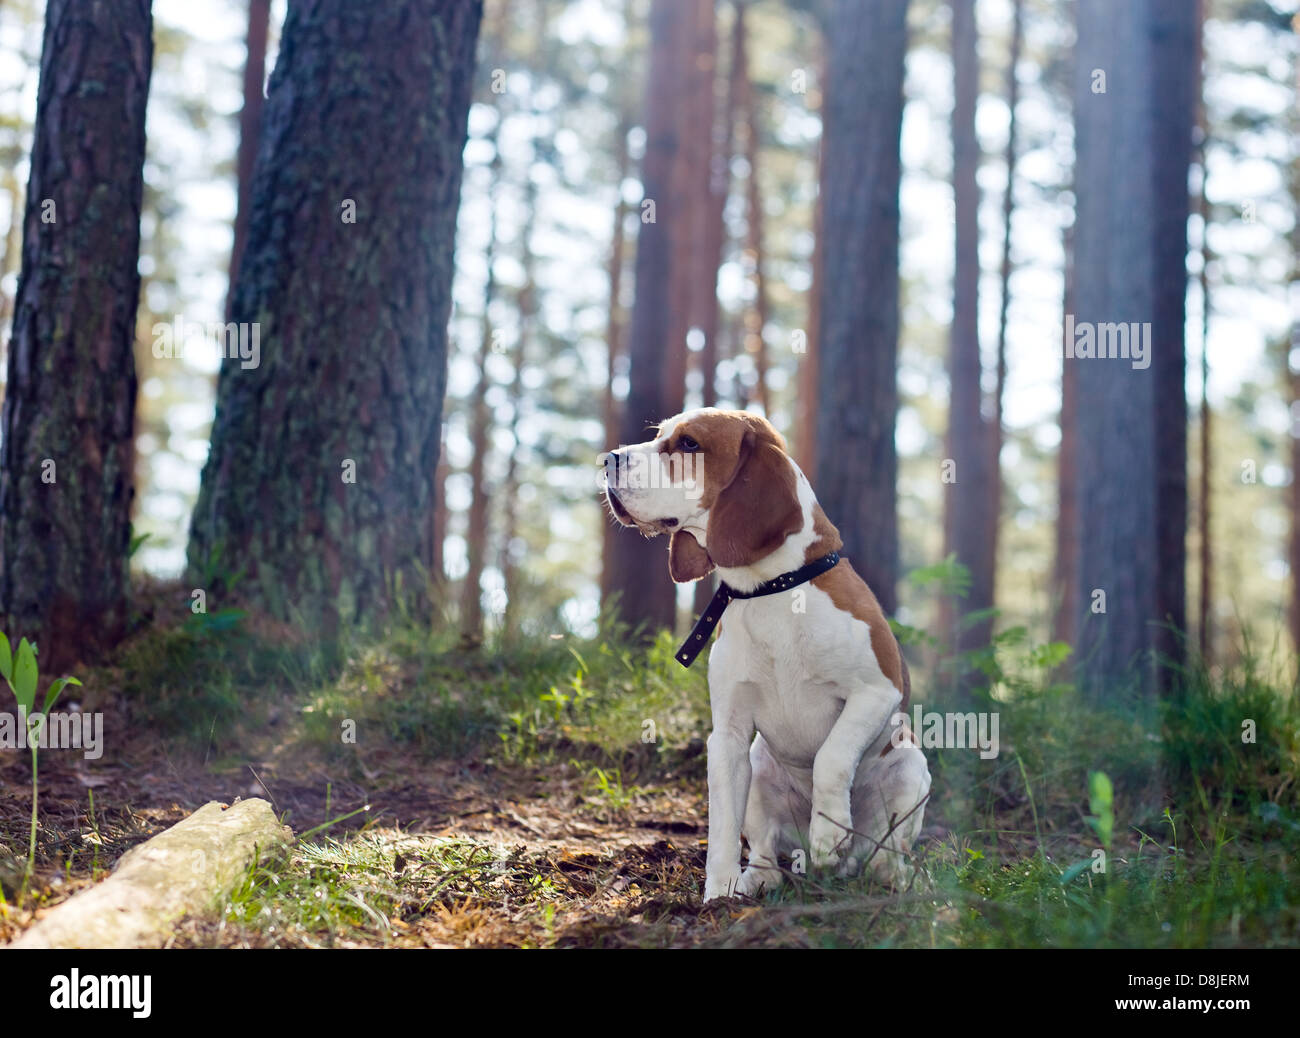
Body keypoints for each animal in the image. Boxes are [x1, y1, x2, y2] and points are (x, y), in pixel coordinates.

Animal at [603, 405, 930, 900]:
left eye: (689, 444)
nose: (606, 459)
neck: (771, 589)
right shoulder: (730, 738)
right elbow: (721, 829)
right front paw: (717, 896)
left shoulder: (877, 691)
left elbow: (831, 757)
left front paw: (829, 832)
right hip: (759, 766)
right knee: (764, 852)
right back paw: (757, 877)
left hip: (912, 765)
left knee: (885, 851)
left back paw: (886, 872)